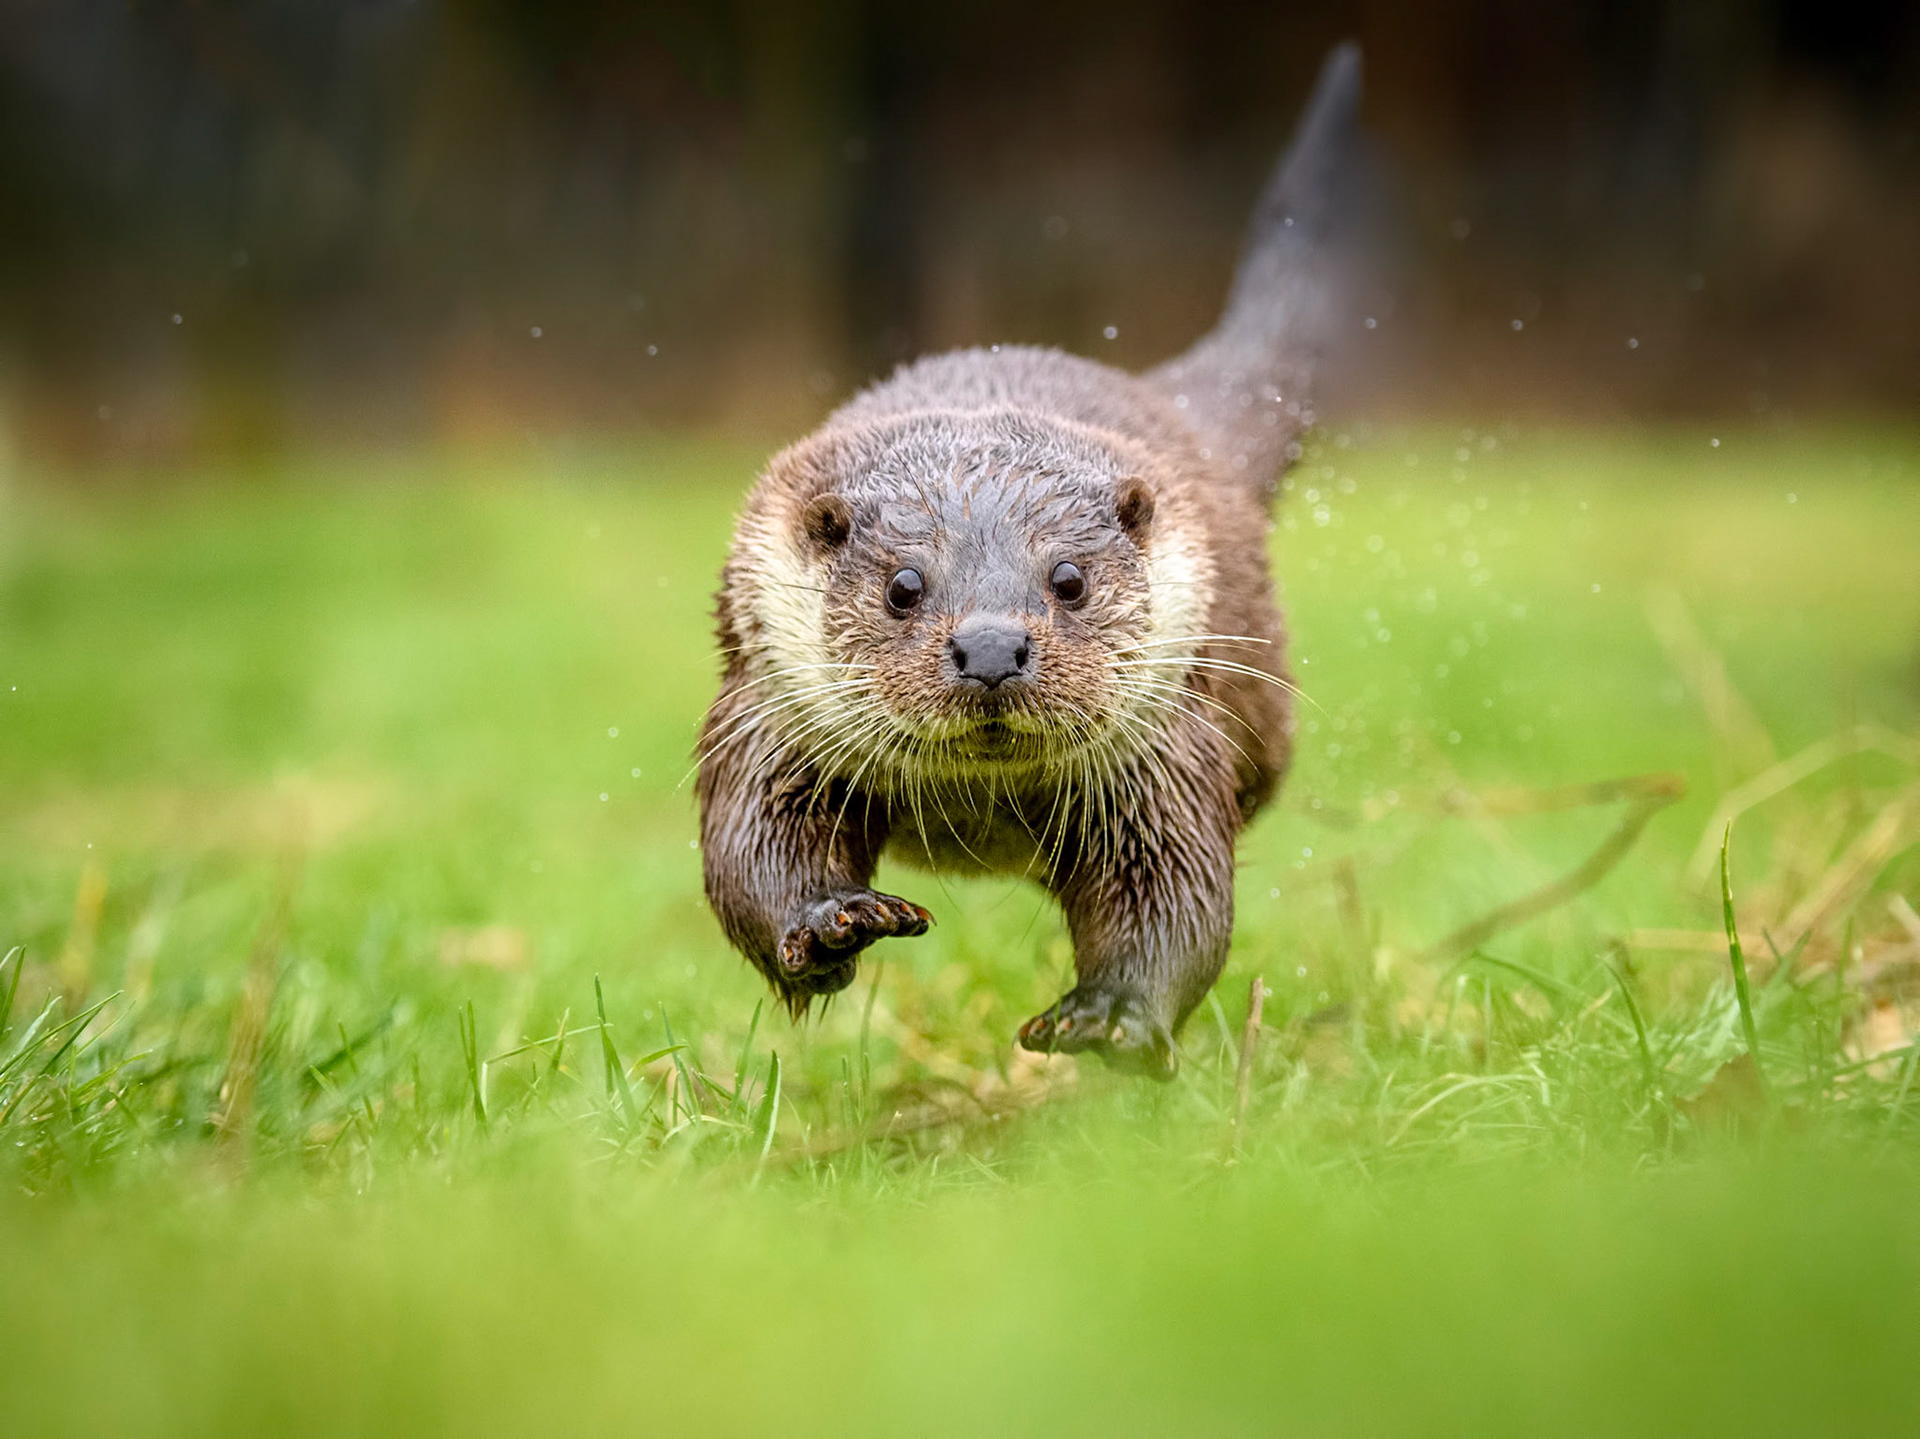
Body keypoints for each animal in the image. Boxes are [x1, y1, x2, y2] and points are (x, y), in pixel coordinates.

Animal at [697, 46, 1361, 1077]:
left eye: (1069, 580)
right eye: (903, 586)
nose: (991, 648)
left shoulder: (1161, 755)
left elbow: (1175, 893)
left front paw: (1112, 1013)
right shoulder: (768, 717)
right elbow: (747, 848)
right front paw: (829, 917)